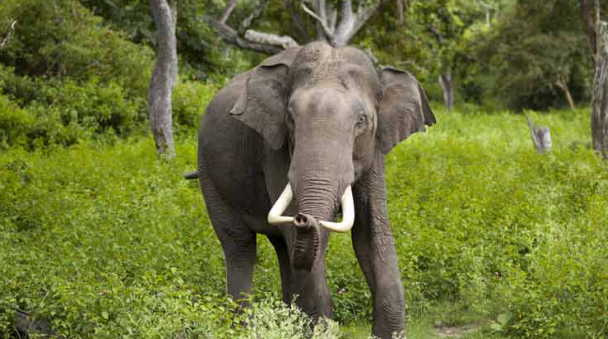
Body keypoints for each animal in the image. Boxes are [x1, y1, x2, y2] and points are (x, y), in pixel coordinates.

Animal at [188, 41, 434, 339]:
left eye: (361, 121)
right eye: (291, 119)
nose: (304, 218)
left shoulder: (375, 150)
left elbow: (371, 233)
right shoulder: (274, 148)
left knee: (283, 249)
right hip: (210, 175)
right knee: (240, 247)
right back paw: (240, 329)